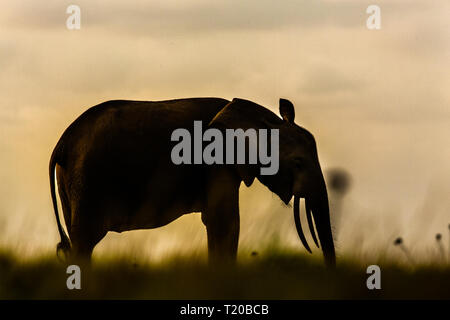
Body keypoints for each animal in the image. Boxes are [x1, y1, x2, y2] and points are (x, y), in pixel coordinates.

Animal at [50, 98, 334, 268]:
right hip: (88, 180)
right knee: (84, 241)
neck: (263, 119)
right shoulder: (217, 162)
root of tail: (63, 141)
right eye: (298, 163)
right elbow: (226, 223)